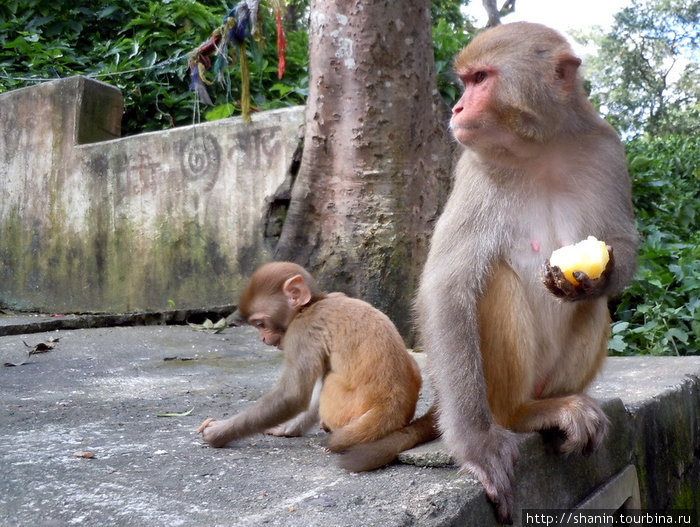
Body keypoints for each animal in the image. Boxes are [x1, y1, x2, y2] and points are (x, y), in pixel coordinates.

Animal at [197, 262, 438, 470]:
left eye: (260, 323)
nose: (263, 339)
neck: (312, 304)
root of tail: (392, 412)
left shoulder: (301, 332)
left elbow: (293, 395)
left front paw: (219, 433)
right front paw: (287, 428)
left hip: (346, 409)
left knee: (329, 380)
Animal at [416, 21, 640, 524]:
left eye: (480, 79)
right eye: (466, 81)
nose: (457, 107)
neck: (542, 149)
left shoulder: (607, 149)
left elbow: (621, 243)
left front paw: (598, 277)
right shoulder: (474, 170)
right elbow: (447, 289)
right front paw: (476, 446)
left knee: (594, 307)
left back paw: (555, 405)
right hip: (496, 390)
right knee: (495, 282)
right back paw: (522, 414)